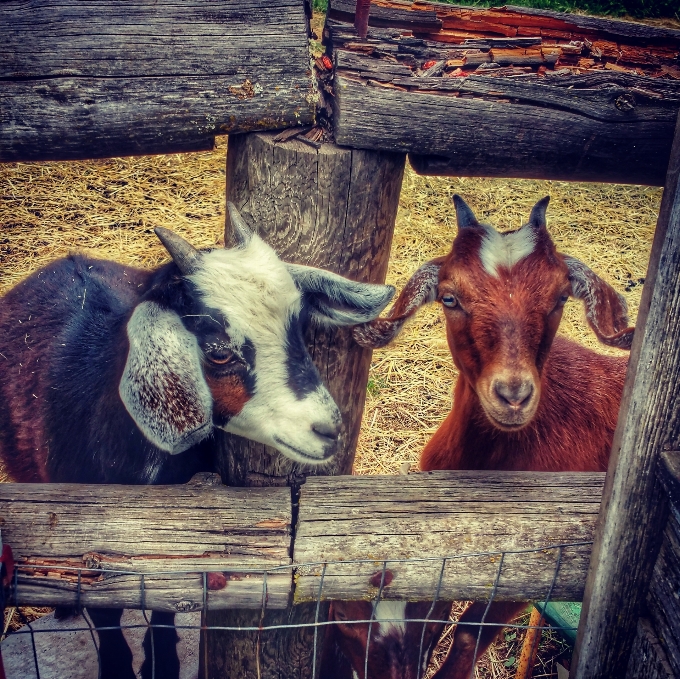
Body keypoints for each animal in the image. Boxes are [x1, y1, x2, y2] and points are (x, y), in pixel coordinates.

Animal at [0, 203, 394, 679]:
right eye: (219, 351)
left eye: (299, 328)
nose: (328, 429)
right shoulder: (88, 545)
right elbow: (106, 613)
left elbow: (168, 599)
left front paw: (163, 662)